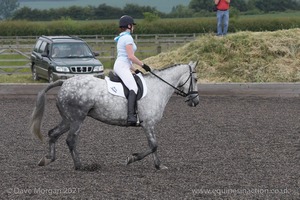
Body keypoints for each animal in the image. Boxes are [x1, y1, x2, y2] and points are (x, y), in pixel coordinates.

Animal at [29, 61, 199, 170]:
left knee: (53, 134)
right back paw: (80, 166)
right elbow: (153, 145)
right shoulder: (148, 124)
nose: (195, 101)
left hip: (67, 120)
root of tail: (64, 83)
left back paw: (47, 159)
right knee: (70, 140)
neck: (157, 88)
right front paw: (132, 158)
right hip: (77, 119)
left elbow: (154, 146)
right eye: (196, 79)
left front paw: (158, 165)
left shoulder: (149, 125)